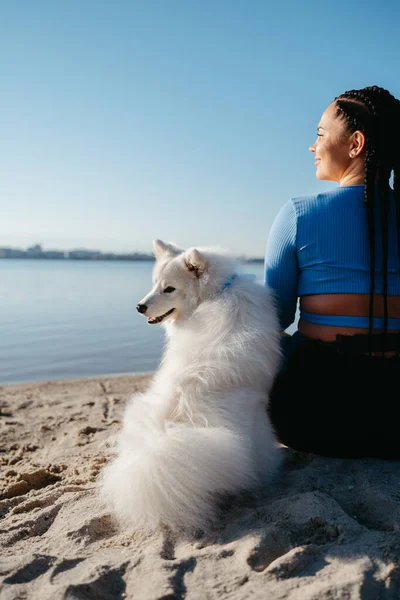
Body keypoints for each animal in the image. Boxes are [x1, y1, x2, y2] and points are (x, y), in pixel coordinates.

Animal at [98, 239, 282, 536]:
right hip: (258, 426)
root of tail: (173, 422)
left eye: (169, 289)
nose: (139, 307)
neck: (218, 292)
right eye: (154, 284)